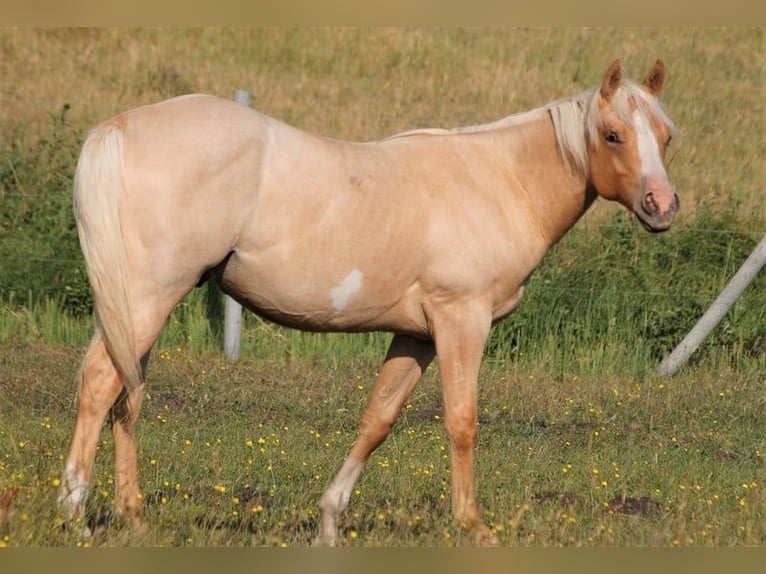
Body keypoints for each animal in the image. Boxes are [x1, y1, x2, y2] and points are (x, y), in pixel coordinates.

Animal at [58, 59, 679, 546]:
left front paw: (330, 522)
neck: (498, 182)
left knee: (125, 395)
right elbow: (461, 421)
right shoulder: (462, 321)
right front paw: (474, 526)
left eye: (666, 136)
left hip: (136, 309)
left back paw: (133, 517)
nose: (663, 205)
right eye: (614, 135)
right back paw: (75, 515)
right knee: (101, 385)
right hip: (148, 300)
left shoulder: (417, 335)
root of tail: (120, 126)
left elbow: (377, 420)